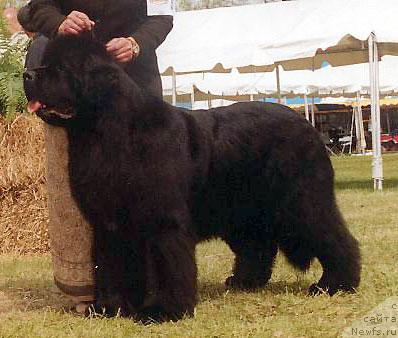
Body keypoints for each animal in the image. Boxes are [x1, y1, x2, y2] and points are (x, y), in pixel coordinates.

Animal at [24, 35, 360, 320]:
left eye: (60, 68)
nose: (28, 75)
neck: (106, 133)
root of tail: (307, 124)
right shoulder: (108, 222)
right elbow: (110, 264)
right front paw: (110, 307)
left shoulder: (162, 219)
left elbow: (167, 265)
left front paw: (163, 311)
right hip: (242, 211)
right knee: (257, 246)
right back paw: (244, 281)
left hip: (301, 200)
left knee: (332, 235)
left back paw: (335, 284)